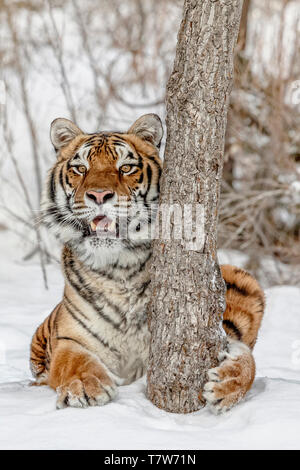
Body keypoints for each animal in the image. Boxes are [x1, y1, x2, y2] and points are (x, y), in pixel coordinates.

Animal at [30, 115, 264, 414]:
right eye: (81, 168)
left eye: (126, 167)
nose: (99, 195)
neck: (119, 269)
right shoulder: (69, 338)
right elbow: (72, 360)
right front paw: (84, 387)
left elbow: (246, 358)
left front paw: (229, 382)